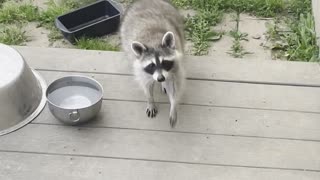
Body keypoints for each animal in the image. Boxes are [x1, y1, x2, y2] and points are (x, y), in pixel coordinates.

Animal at [120, 0, 185, 128]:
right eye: (151, 65)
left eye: (164, 62)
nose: (160, 78)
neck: (154, 42)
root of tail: (145, 1)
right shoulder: (141, 68)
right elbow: (146, 84)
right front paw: (150, 100)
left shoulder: (175, 65)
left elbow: (174, 86)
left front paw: (173, 106)